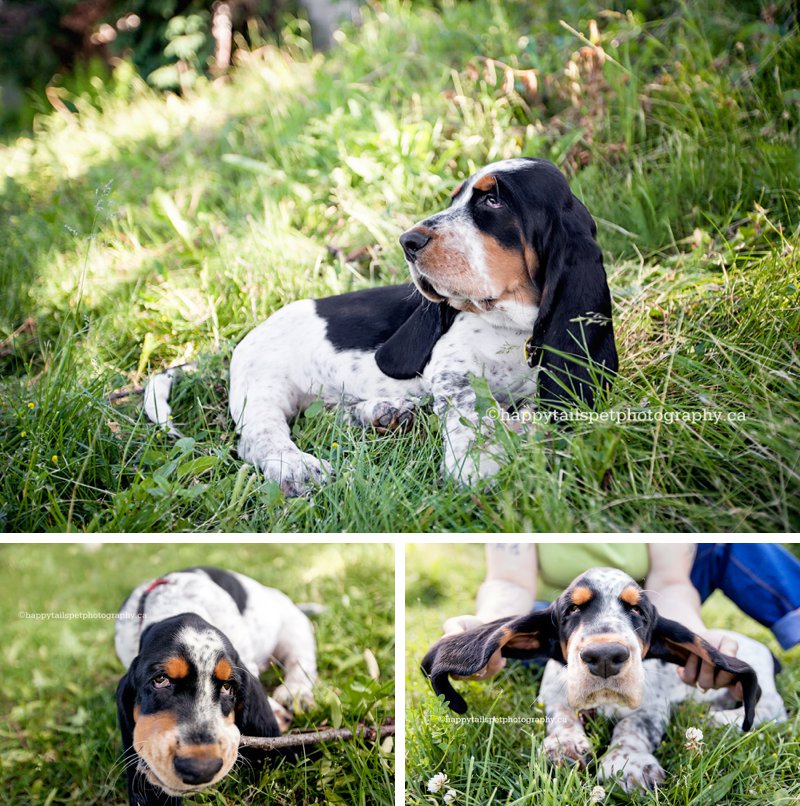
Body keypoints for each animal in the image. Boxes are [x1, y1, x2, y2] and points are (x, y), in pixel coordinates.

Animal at [114, 568, 318, 806]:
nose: (200, 768)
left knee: (301, 662)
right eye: (160, 680)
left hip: (295, 629)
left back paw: (295, 694)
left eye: (228, 687)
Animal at [145, 156, 620, 498]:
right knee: (261, 438)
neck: (511, 328)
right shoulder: (451, 368)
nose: (408, 242)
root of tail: (240, 342)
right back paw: (298, 467)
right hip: (264, 389)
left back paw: (382, 414)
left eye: (493, 202)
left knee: (332, 416)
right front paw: (476, 463)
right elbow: (469, 411)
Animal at [422, 568, 784, 796]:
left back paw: (721, 719)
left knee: (772, 708)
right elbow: (562, 716)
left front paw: (628, 765)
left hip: (761, 685)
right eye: (571, 610)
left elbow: (632, 728)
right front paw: (565, 747)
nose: (606, 656)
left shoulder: (652, 709)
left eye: (638, 612)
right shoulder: (553, 696)